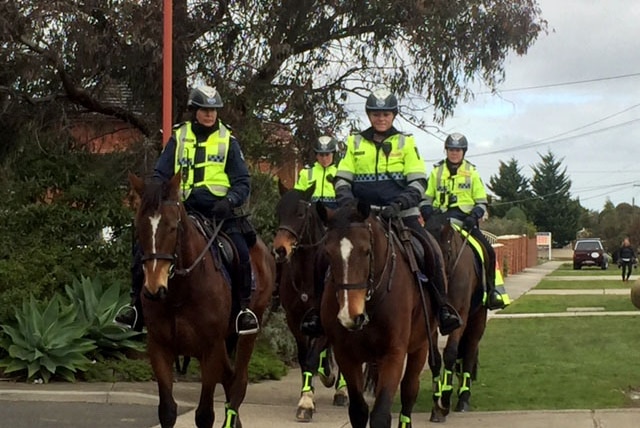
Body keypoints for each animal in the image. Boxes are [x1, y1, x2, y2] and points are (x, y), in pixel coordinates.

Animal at [129, 173, 276, 428]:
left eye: (173, 227)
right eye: (140, 227)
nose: (154, 289)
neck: (181, 292)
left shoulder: (211, 350)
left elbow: (205, 415)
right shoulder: (159, 348)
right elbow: (167, 411)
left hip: (246, 335)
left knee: (238, 381)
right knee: (229, 378)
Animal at [272, 184, 348, 422]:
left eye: (300, 214)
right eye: (278, 212)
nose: (280, 250)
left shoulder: (325, 321)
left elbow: (314, 357)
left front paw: (306, 403)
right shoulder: (294, 320)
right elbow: (305, 358)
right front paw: (308, 396)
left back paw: (341, 390)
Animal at [316, 201, 440, 428]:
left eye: (366, 251)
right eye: (328, 253)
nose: (349, 315)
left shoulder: (394, 353)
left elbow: (381, 414)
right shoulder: (346, 355)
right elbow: (358, 411)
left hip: (420, 346)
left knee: (409, 390)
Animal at [428, 216, 488, 422]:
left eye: (445, 253)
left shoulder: (461, 315)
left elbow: (450, 353)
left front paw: (444, 400)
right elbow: (435, 358)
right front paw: (436, 402)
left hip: (478, 320)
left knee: (469, 352)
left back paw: (463, 399)